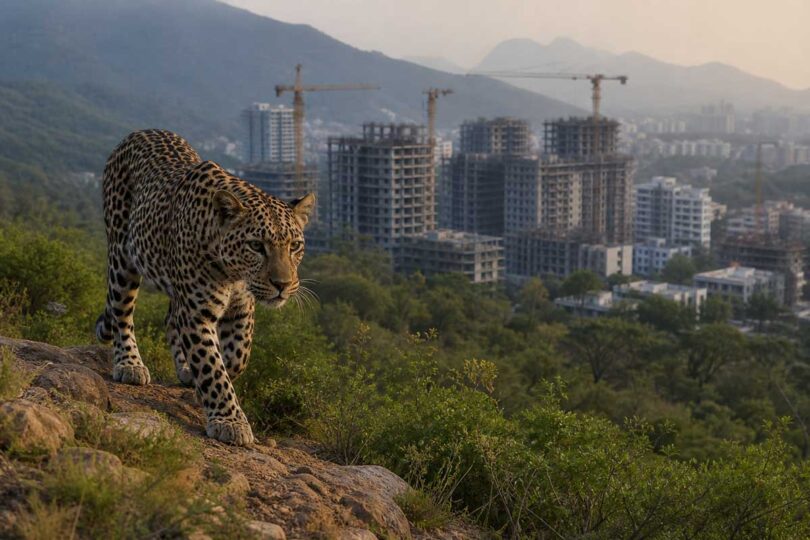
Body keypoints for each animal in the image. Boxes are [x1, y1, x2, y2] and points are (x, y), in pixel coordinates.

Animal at [95, 129, 314, 446]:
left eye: (295, 246)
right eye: (256, 246)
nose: (282, 285)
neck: (233, 273)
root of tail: (138, 133)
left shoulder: (241, 307)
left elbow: (237, 357)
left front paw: (204, 386)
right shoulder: (198, 312)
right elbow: (213, 366)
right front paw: (230, 421)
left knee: (170, 318)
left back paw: (184, 369)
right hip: (122, 257)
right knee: (122, 312)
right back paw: (129, 364)